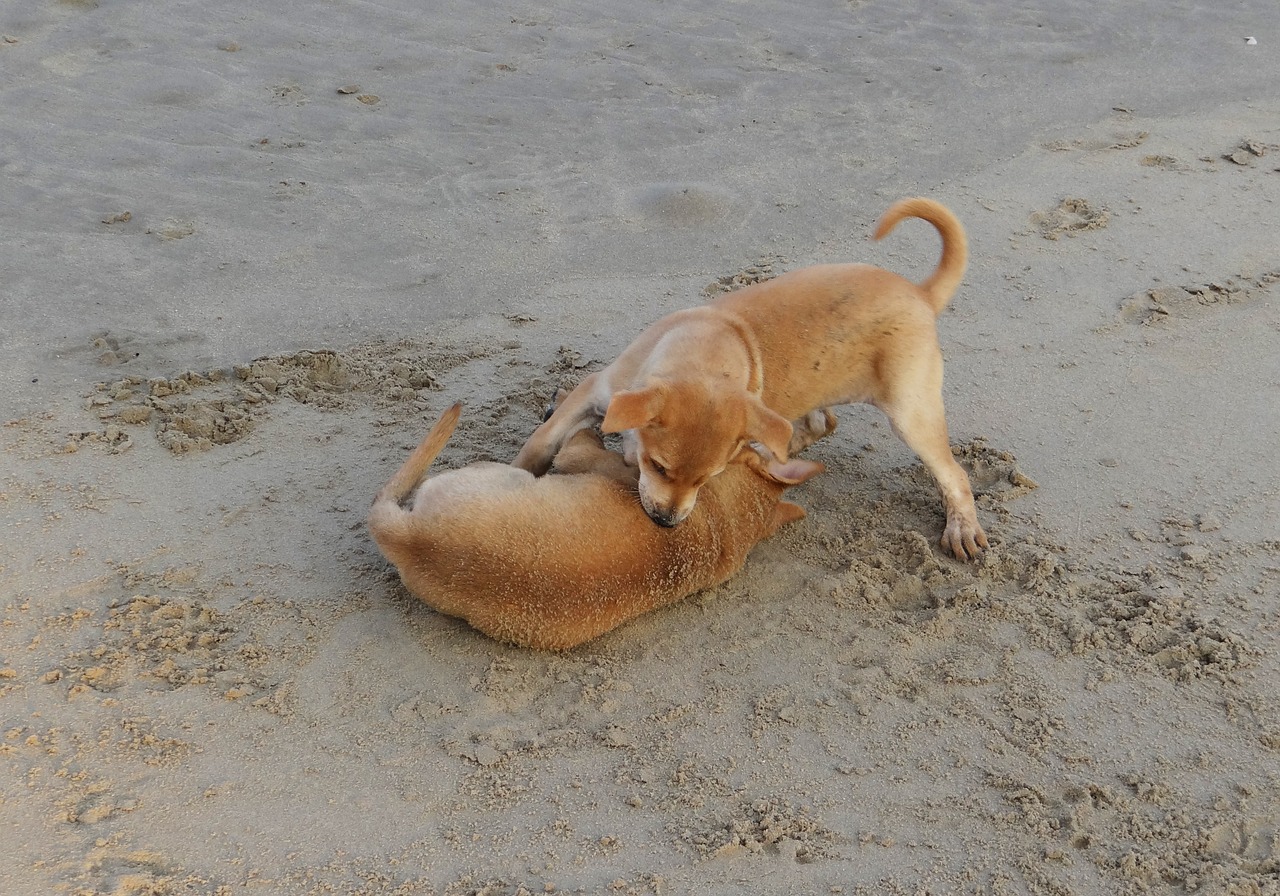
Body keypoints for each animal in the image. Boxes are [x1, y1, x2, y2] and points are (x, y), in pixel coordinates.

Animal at [512, 197, 988, 560]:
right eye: (660, 466)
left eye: (706, 480)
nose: (666, 523)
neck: (706, 352)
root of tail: (920, 293)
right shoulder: (596, 392)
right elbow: (540, 443)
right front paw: (517, 471)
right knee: (819, 423)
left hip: (911, 412)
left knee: (954, 474)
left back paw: (962, 528)